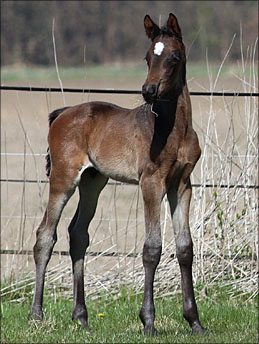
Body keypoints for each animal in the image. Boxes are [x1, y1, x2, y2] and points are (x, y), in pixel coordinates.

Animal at [29, 13, 207, 336]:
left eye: (174, 57)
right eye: (148, 57)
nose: (148, 90)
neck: (174, 129)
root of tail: (62, 114)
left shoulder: (182, 184)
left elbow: (185, 247)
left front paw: (195, 322)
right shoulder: (151, 182)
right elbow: (152, 248)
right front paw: (148, 321)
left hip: (93, 180)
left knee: (78, 234)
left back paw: (81, 316)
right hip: (63, 178)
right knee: (46, 235)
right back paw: (36, 314)